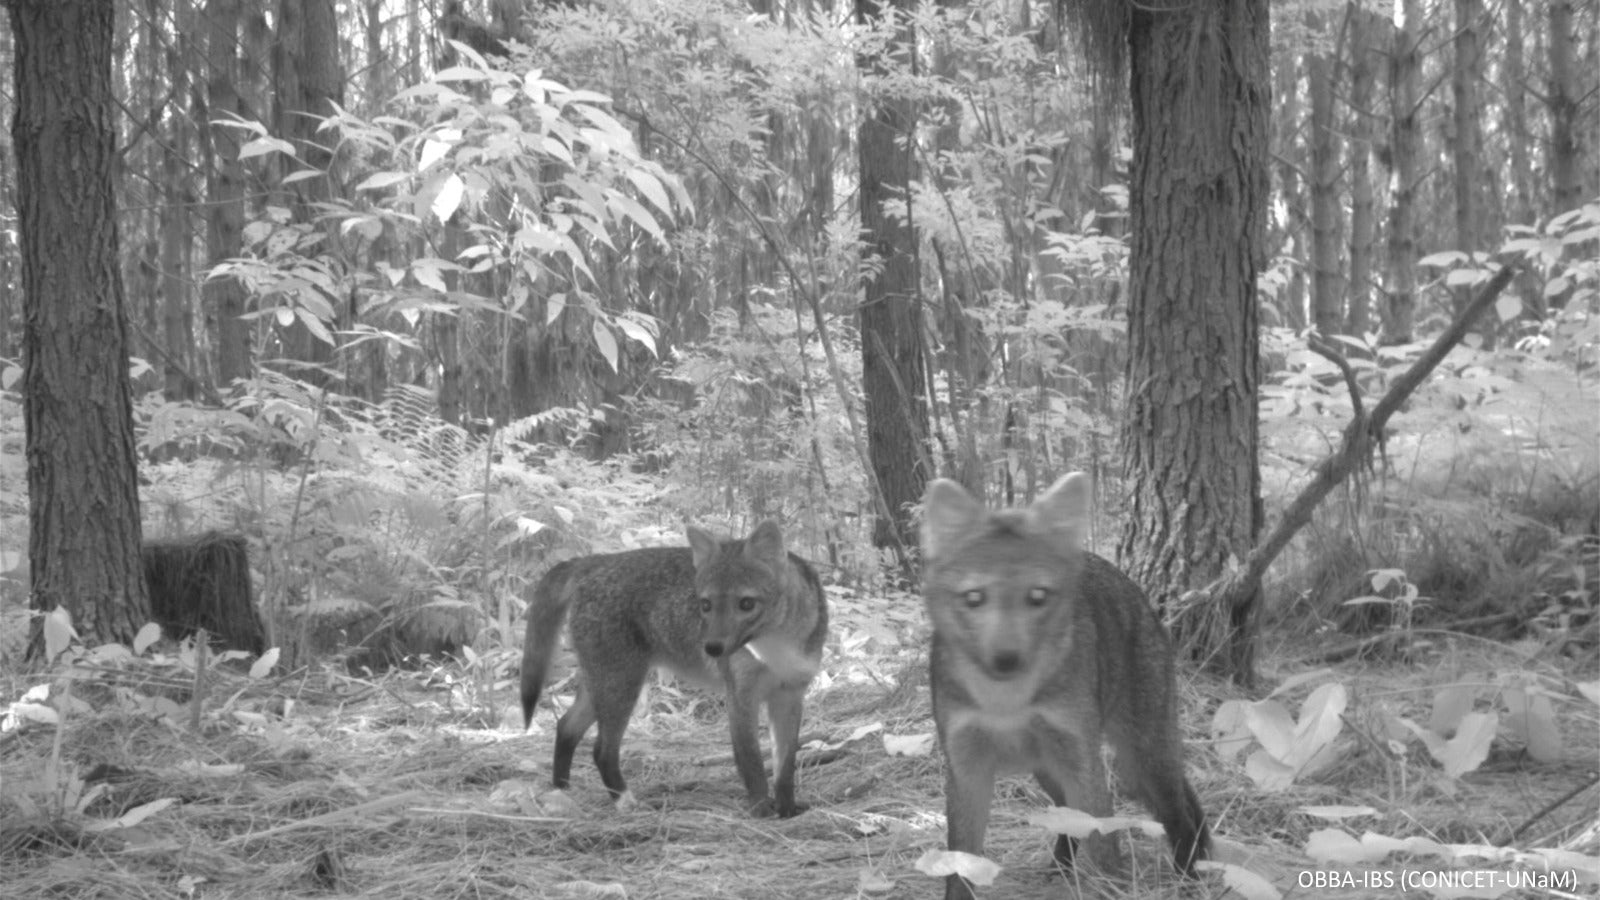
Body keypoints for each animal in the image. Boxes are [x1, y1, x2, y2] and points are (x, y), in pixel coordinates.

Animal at [521, 515, 832, 816]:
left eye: (746, 603)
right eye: (705, 605)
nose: (712, 648)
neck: (776, 649)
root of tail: (595, 560)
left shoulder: (789, 696)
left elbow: (785, 768)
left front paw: (787, 810)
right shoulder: (741, 698)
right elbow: (752, 765)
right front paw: (761, 812)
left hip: (603, 688)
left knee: (565, 727)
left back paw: (562, 790)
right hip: (620, 689)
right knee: (601, 750)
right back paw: (625, 802)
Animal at [921, 474, 1203, 890]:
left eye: (1037, 596)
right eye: (974, 597)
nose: (1006, 658)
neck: (1006, 703)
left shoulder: (1082, 762)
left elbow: (1105, 848)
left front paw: (1115, 891)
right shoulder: (966, 770)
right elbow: (961, 866)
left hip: (1143, 761)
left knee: (1181, 816)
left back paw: (1190, 879)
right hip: (1050, 769)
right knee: (1069, 819)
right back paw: (1059, 869)